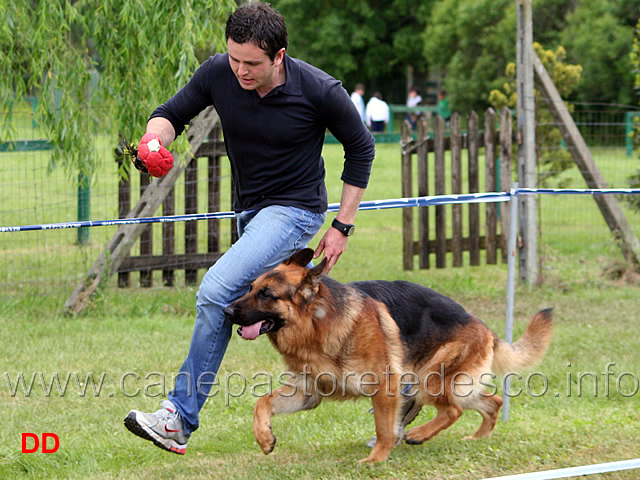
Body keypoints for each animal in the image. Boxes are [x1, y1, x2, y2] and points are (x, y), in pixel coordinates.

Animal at [222, 249, 552, 464]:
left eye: (266, 294)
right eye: (251, 287)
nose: (225, 311)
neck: (317, 324)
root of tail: (482, 325)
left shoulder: (385, 388)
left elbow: (384, 429)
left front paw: (376, 459)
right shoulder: (307, 392)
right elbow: (262, 402)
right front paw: (264, 437)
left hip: (429, 381)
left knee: (453, 410)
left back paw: (418, 434)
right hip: (452, 385)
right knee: (491, 402)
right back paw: (477, 439)